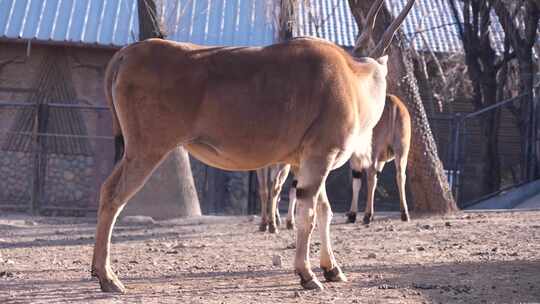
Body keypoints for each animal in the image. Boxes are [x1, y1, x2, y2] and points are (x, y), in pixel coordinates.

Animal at [90, 0, 416, 294]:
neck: (352, 76)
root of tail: (126, 55)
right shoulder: (319, 158)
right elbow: (308, 216)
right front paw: (307, 274)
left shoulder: (306, 163)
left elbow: (325, 212)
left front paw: (332, 269)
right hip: (147, 150)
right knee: (113, 195)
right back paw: (108, 277)